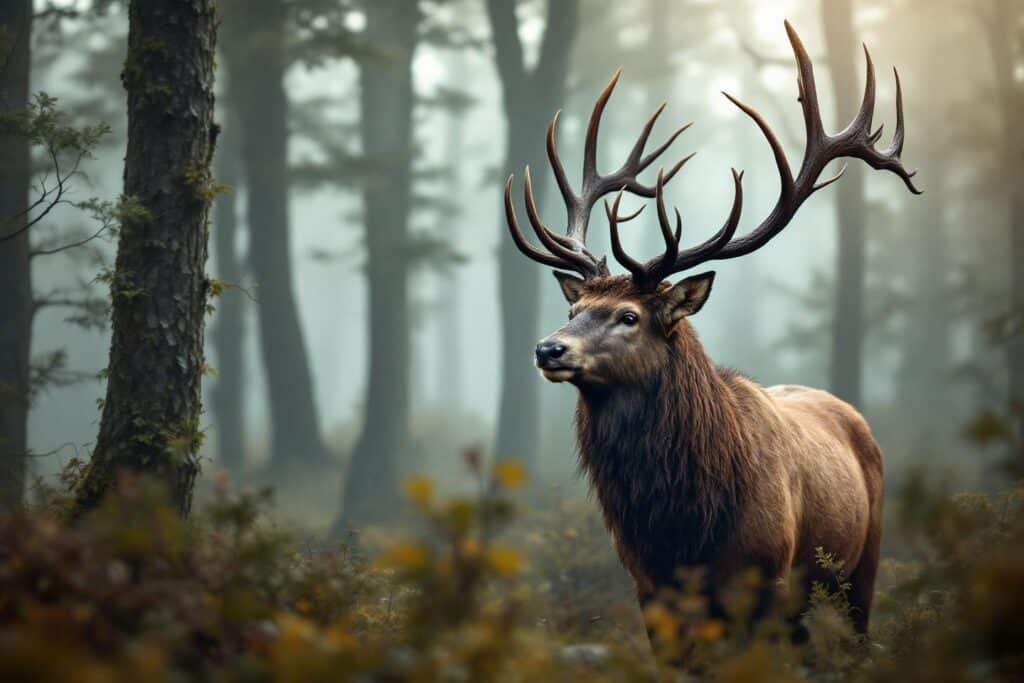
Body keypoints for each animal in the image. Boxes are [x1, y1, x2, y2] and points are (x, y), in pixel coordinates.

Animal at [502, 23, 920, 642]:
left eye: (629, 316)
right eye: (576, 308)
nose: (548, 348)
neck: (685, 527)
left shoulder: (766, 578)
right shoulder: (649, 587)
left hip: (860, 565)